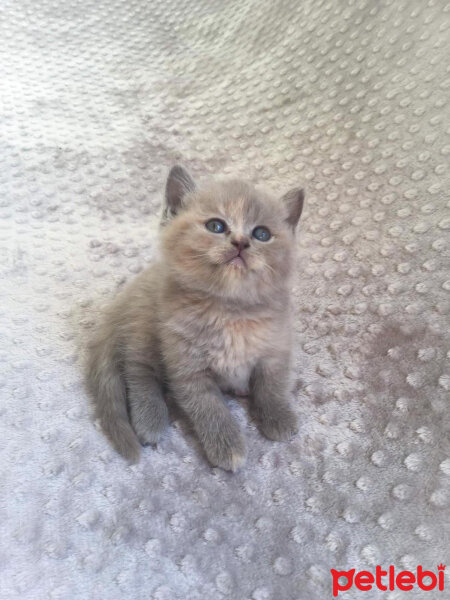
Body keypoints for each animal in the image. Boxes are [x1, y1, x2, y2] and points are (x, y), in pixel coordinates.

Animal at [86, 166, 304, 472]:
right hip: (145, 328)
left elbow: (272, 385)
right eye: (216, 226)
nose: (241, 242)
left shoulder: (276, 348)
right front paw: (228, 446)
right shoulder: (187, 367)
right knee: (137, 370)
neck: (230, 311)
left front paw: (279, 417)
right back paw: (150, 418)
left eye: (262, 233)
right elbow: (209, 408)